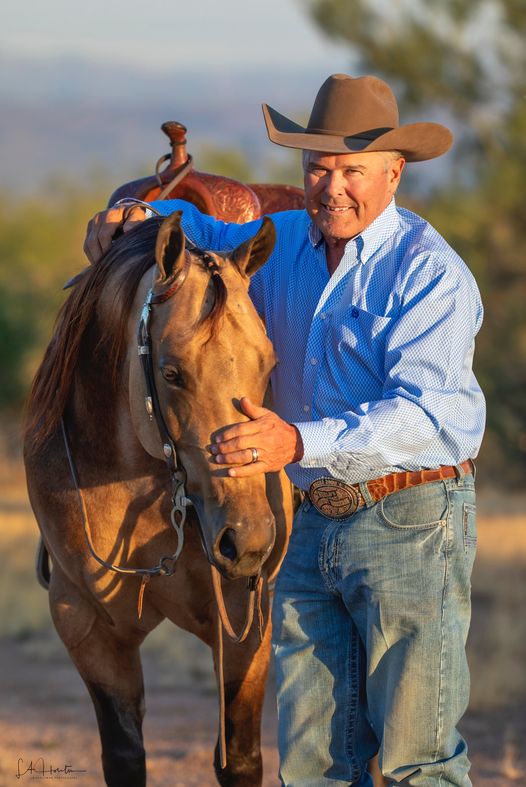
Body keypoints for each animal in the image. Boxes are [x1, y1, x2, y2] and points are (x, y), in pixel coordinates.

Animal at [23, 211, 292, 787]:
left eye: (268, 364)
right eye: (171, 372)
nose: (249, 542)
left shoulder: (245, 626)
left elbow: (240, 758)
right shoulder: (87, 630)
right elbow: (124, 755)